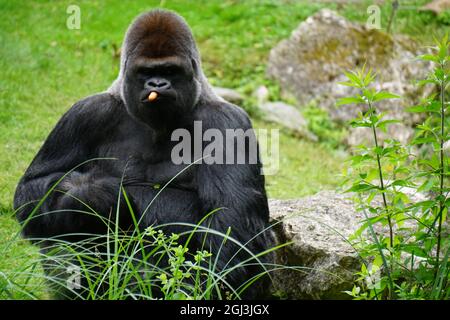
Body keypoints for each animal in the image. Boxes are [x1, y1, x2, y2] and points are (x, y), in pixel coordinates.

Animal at [14, 10, 272, 300]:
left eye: (169, 70)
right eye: (146, 71)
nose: (157, 83)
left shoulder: (227, 122)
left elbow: (234, 222)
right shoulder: (85, 113)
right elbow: (32, 191)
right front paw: (89, 194)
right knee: (61, 227)